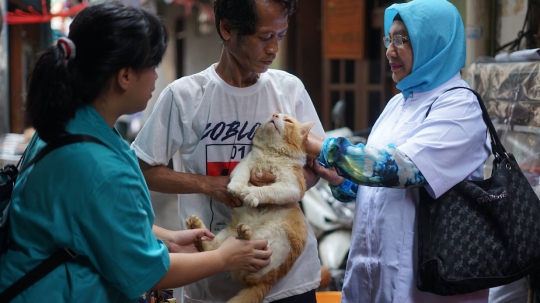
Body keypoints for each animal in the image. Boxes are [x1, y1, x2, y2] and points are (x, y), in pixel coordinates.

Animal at [186, 112, 314, 303]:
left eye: (288, 120)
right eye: (276, 114)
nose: (275, 115)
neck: (270, 153)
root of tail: (266, 283)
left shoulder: (292, 186)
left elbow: (269, 189)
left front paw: (251, 193)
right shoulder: (244, 165)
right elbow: (242, 175)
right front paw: (236, 188)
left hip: (275, 235)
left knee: (249, 264)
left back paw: (245, 235)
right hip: (226, 237)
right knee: (212, 249)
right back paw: (199, 226)